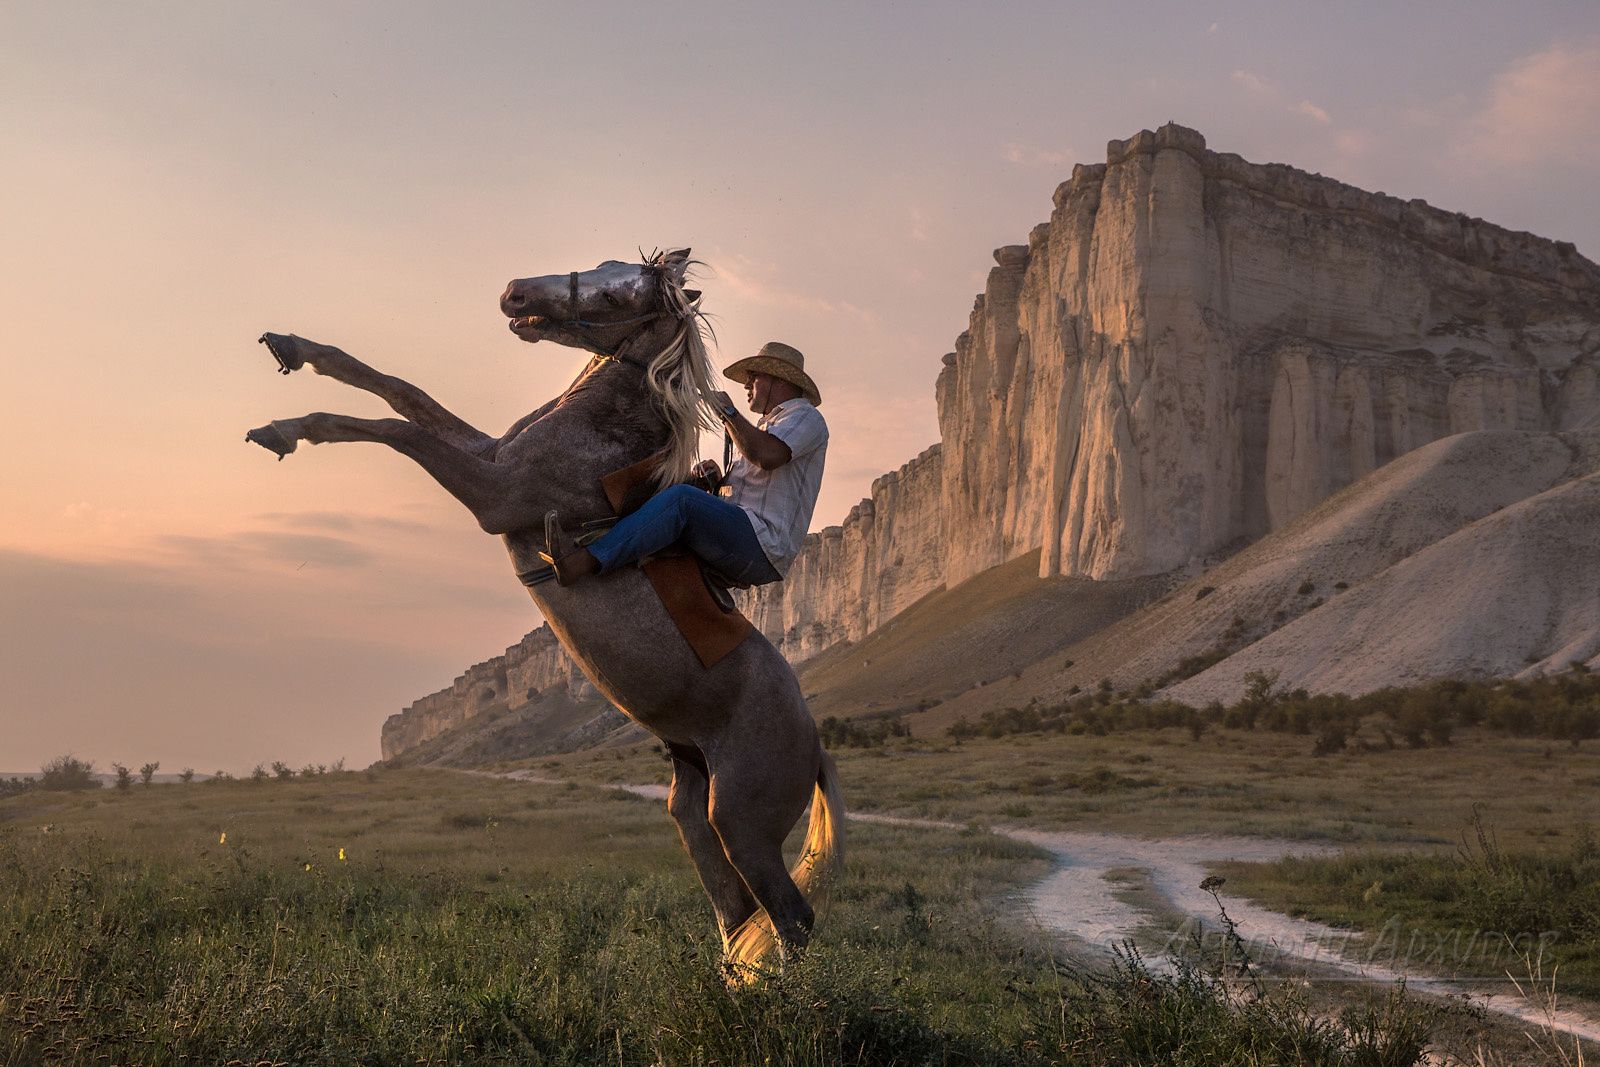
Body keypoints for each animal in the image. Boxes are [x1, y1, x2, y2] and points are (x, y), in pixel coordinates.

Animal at [243, 246, 844, 972]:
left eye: (620, 292)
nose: (515, 293)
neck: (599, 435)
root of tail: (813, 744)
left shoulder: (493, 489)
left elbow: (393, 423)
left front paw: (285, 430)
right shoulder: (490, 454)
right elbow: (397, 389)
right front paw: (292, 362)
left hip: (743, 825)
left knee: (793, 918)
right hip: (696, 811)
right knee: (738, 913)